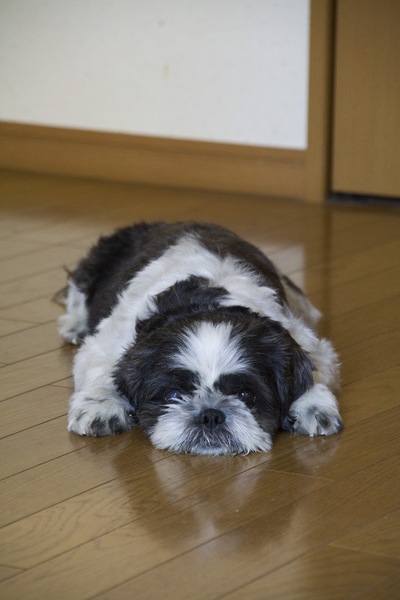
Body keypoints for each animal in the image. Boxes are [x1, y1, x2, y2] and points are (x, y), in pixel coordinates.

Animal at [57, 221, 342, 454]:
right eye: (173, 395)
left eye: (245, 395)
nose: (210, 414)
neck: (205, 302)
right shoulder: (109, 343)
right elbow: (102, 370)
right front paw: (101, 405)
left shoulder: (304, 340)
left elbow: (315, 373)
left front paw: (313, 404)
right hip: (96, 264)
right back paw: (75, 325)